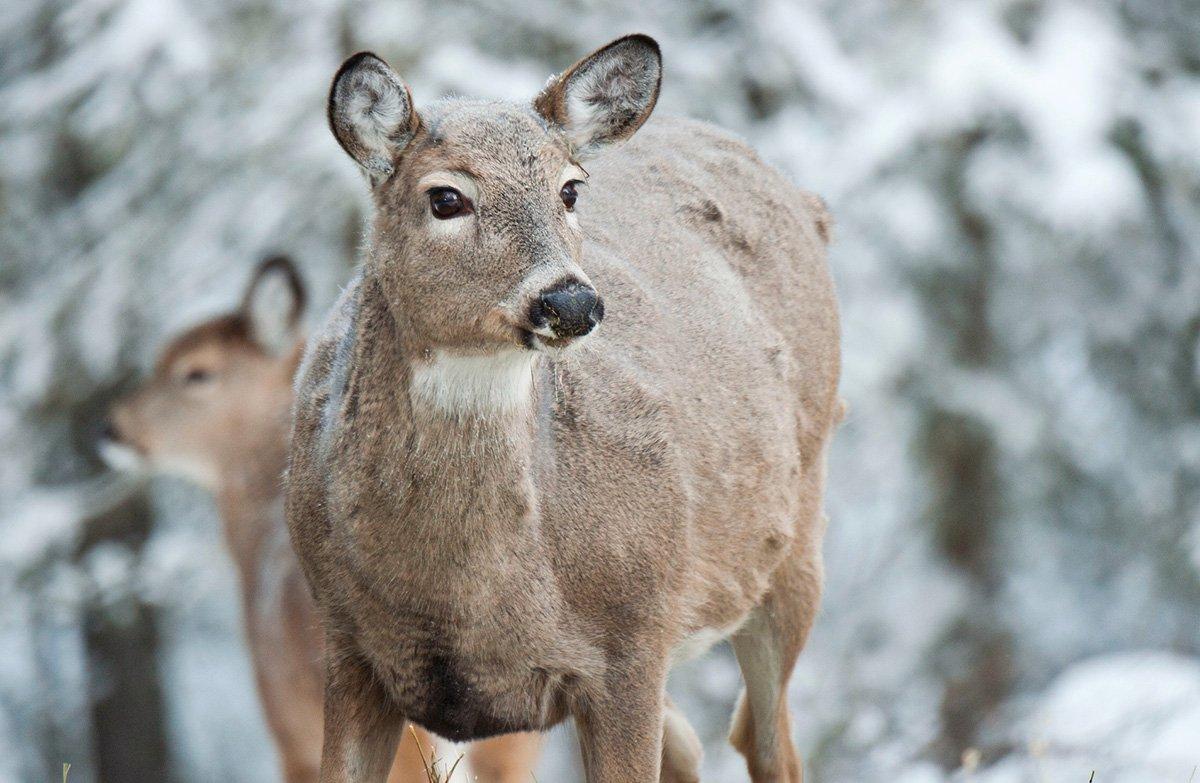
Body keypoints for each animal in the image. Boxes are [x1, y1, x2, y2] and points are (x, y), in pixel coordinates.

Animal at [284, 33, 840, 778]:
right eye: (446, 198)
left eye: (570, 189)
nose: (571, 300)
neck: (457, 600)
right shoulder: (347, 646)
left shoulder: (631, 643)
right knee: (696, 743)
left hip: (793, 540)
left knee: (767, 739)